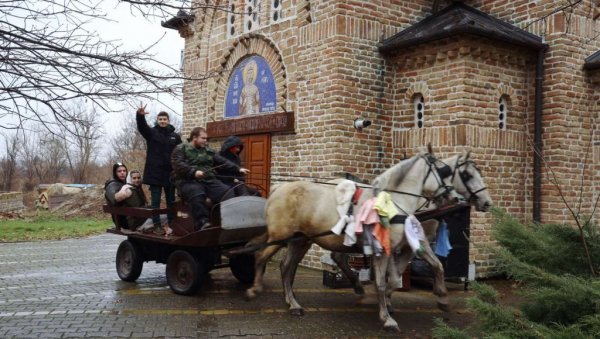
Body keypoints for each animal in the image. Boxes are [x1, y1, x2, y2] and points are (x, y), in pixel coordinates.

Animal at [244, 153, 454, 332]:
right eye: (445, 171)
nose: (452, 197)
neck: (393, 202)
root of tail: (278, 188)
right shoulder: (386, 250)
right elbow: (382, 282)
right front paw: (387, 318)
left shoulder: (398, 247)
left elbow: (400, 276)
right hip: (281, 237)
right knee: (261, 256)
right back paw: (255, 289)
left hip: (299, 240)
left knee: (286, 267)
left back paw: (294, 303)